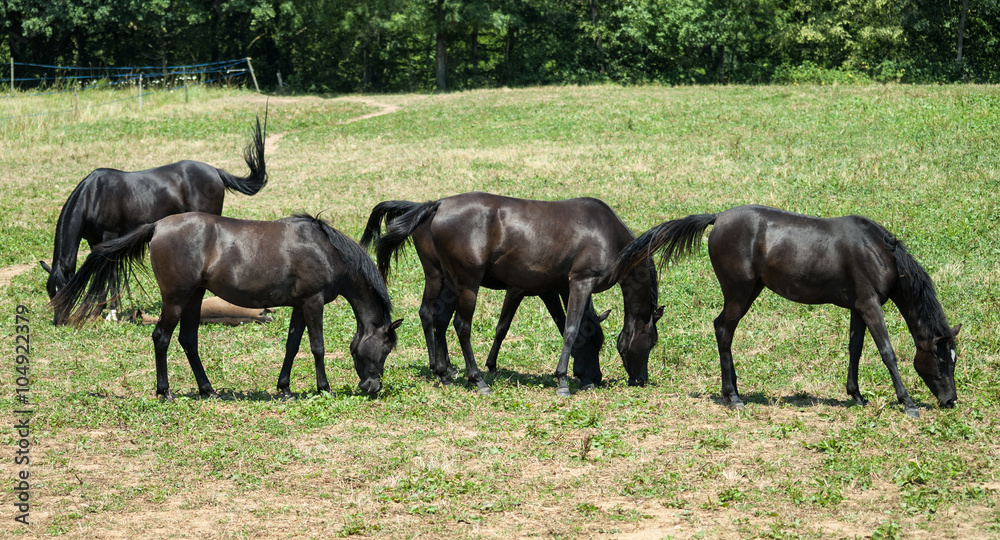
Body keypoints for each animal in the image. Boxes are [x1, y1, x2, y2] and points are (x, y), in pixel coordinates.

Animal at [41, 112, 268, 322]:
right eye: (51, 293)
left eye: (64, 291)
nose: (58, 321)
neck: (93, 196)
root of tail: (215, 171)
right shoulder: (94, 241)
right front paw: (98, 310)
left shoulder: (110, 237)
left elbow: (111, 273)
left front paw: (111, 313)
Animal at [49, 213, 402, 398]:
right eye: (385, 349)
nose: (372, 388)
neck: (325, 249)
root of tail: (158, 226)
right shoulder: (313, 303)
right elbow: (317, 347)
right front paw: (323, 387)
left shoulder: (300, 305)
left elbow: (292, 346)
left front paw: (285, 388)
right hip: (176, 299)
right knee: (161, 338)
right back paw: (165, 391)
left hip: (194, 297)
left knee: (188, 340)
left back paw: (207, 389)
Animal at [362, 192, 664, 394]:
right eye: (651, 343)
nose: (641, 379)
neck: (605, 234)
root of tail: (437, 205)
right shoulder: (580, 281)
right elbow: (571, 329)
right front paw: (562, 381)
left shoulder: (555, 288)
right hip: (465, 284)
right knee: (460, 325)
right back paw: (477, 379)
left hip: (450, 282)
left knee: (438, 319)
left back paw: (444, 373)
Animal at [608, 204, 960, 418]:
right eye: (943, 361)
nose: (950, 401)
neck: (878, 252)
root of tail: (718, 217)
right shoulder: (871, 306)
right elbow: (887, 352)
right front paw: (907, 402)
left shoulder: (859, 308)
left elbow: (856, 349)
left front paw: (857, 395)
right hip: (739, 293)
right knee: (723, 329)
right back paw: (732, 396)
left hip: (750, 291)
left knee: (724, 330)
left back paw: (734, 389)